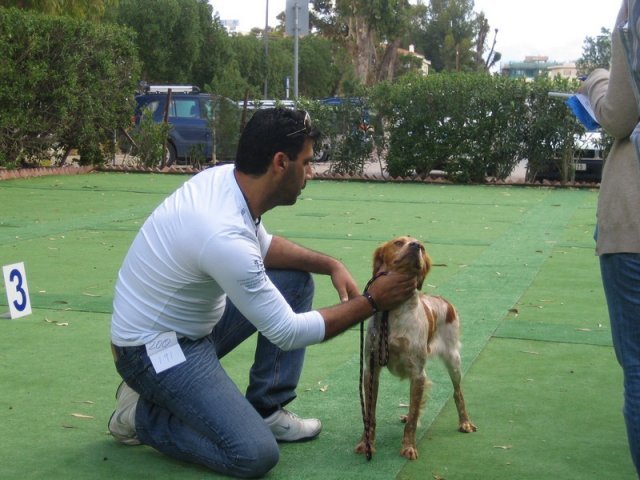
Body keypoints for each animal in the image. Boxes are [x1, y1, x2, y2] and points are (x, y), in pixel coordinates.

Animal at [356, 236, 476, 462]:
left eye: (423, 246)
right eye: (398, 242)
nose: (416, 246)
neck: (394, 312)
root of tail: (444, 301)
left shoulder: (418, 373)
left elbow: (412, 419)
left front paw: (408, 447)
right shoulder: (371, 369)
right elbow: (370, 414)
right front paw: (366, 444)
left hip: (453, 360)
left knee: (458, 392)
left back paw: (464, 422)